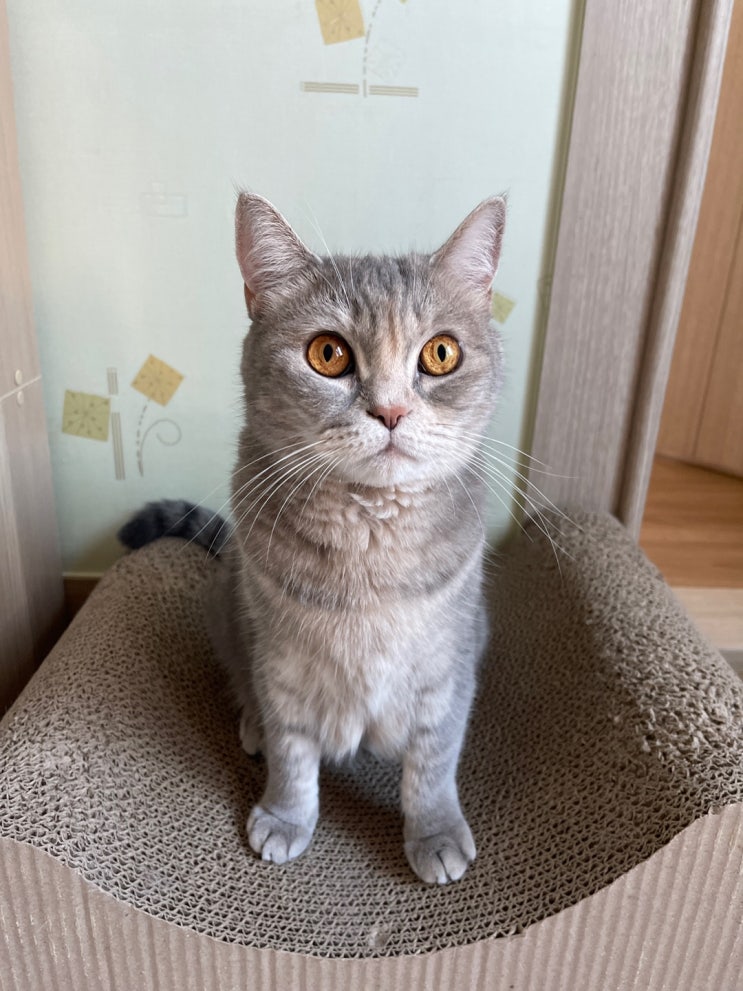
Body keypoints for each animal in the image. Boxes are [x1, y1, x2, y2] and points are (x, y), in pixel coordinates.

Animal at [121, 191, 506, 884]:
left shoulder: (448, 668)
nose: (391, 411)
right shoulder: (282, 665)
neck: (370, 545)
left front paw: (434, 832)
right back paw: (249, 726)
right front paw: (285, 817)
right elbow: (292, 753)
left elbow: (433, 763)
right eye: (329, 354)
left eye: (440, 354)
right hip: (225, 611)